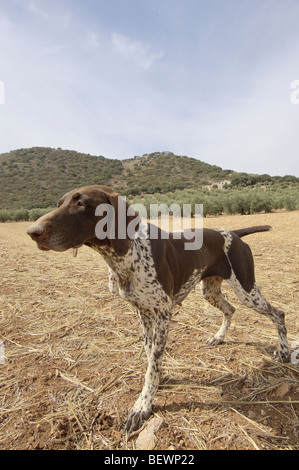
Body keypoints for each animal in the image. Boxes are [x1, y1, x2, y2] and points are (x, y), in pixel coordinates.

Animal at [27, 186, 290, 434]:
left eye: (81, 203)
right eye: (59, 203)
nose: (32, 232)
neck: (127, 254)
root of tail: (234, 233)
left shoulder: (163, 313)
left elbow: (153, 363)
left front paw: (143, 405)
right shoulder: (143, 312)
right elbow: (149, 353)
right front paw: (155, 382)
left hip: (247, 290)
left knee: (278, 314)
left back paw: (284, 352)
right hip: (210, 291)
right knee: (230, 309)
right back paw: (218, 337)